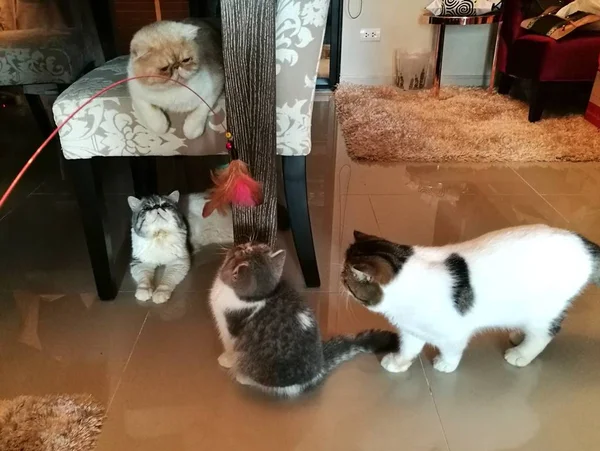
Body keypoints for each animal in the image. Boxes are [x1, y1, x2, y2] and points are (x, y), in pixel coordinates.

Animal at [211, 242, 398, 398]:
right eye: (249, 245)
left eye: (243, 250)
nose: (240, 245)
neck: (255, 297)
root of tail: (319, 367)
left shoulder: (229, 326)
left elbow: (230, 347)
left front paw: (227, 360)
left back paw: (243, 376)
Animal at [342, 225, 600, 374]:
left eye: (345, 277)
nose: (340, 279)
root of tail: (583, 244)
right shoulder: (411, 329)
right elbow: (409, 348)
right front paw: (398, 363)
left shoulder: (454, 332)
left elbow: (452, 349)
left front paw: (446, 365)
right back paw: (519, 335)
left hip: (543, 312)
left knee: (545, 334)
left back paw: (521, 354)